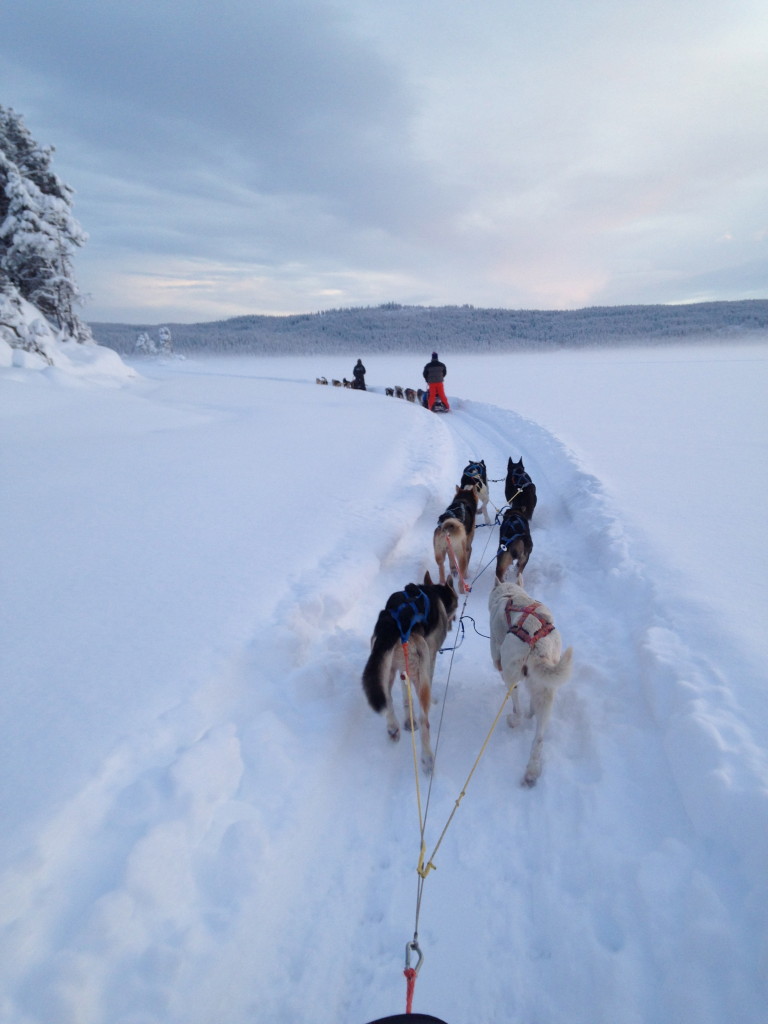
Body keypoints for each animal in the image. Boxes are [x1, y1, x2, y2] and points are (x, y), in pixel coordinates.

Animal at [364, 573, 460, 770]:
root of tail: (392, 624)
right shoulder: (430, 656)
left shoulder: (403, 670)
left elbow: (404, 695)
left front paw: (409, 719)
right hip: (419, 670)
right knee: (425, 721)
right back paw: (427, 758)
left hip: (387, 671)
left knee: (388, 700)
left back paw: (394, 727)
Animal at [489, 581, 573, 786]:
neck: (510, 594)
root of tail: (537, 645)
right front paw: (531, 711)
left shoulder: (497, 656)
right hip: (547, 691)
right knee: (539, 738)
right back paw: (532, 771)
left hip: (511, 674)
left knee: (517, 707)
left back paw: (513, 719)